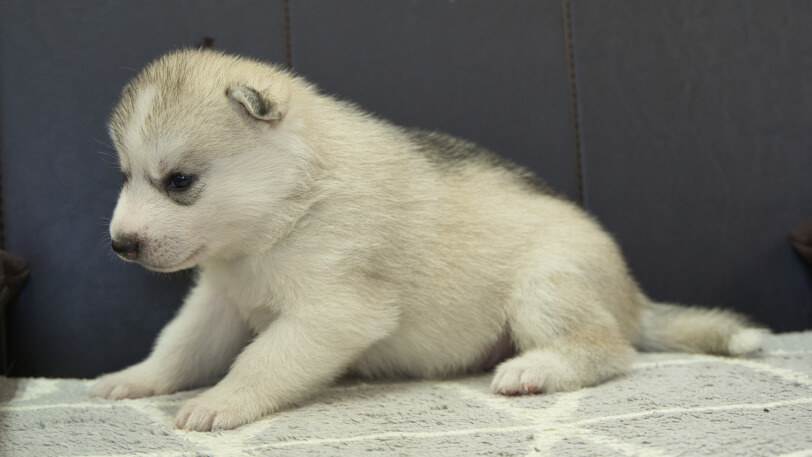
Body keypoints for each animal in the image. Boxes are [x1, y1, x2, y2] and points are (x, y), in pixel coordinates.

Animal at [90, 50, 768, 432]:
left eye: (179, 182)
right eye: (125, 176)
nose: (120, 245)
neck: (289, 209)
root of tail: (633, 299)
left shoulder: (334, 313)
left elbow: (262, 360)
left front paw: (223, 401)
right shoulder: (217, 303)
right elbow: (179, 347)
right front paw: (137, 378)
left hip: (545, 286)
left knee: (607, 349)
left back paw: (537, 368)